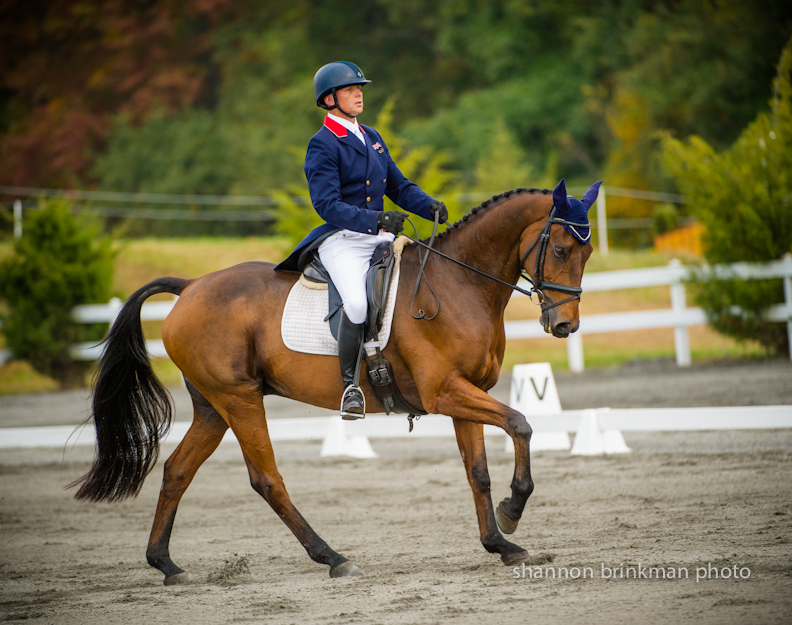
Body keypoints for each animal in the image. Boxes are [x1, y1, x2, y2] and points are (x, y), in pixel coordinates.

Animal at [72, 180, 592, 580]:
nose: (565, 325)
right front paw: (513, 510)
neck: (457, 285)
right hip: (239, 400)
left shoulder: (467, 394)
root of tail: (191, 287)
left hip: (212, 409)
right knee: (267, 479)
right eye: (560, 249)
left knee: (178, 470)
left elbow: (477, 471)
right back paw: (333, 557)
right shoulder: (444, 392)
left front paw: (500, 544)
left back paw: (166, 564)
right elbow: (521, 422)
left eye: (586, 252)